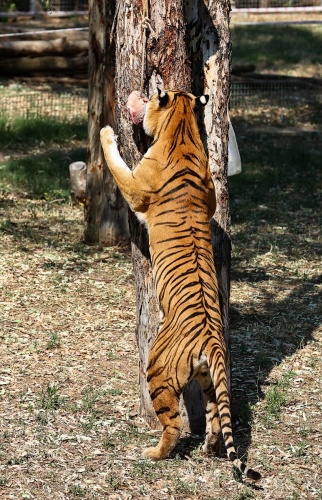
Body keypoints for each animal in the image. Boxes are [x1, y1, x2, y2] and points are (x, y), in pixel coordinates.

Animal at [99, 89, 260, 480]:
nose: (142, 92)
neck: (183, 126)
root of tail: (212, 341)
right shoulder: (210, 192)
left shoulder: (135, 186)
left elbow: (116, 164)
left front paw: (107, 133)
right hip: (210, 378)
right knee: (217, 417)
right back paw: (209, 447)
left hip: (157, 368)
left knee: (172, 425)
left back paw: (154, 453)